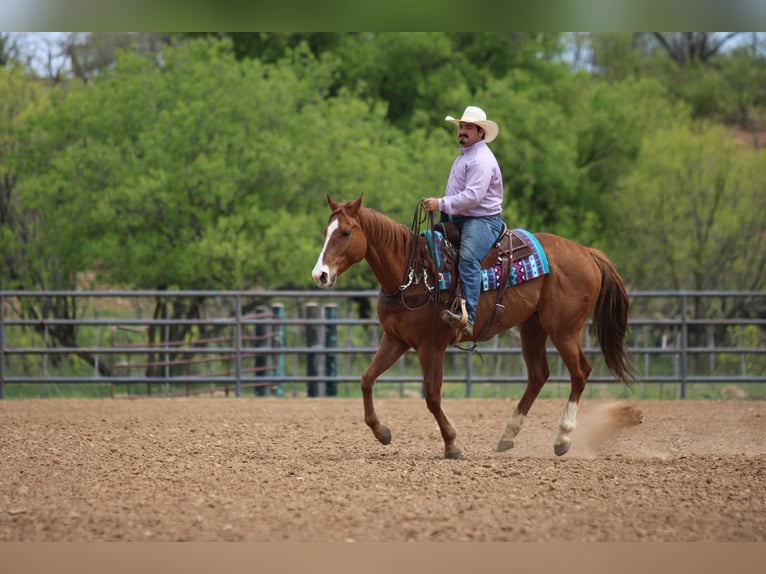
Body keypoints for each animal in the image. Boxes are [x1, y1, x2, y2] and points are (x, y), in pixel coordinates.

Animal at [312, 196, 636, 462]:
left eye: (345, 232)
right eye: (325, 232)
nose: (320, 275)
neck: (413, 273)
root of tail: (587, 252)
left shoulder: (432, 347)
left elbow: (432, 397)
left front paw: (452, 444)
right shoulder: (395, 340)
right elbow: (366, 380)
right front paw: (382, 432)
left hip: (564, 329)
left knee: (580, 372)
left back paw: (563, 437)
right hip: (532, 327)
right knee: (538, 375)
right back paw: (507, 436)